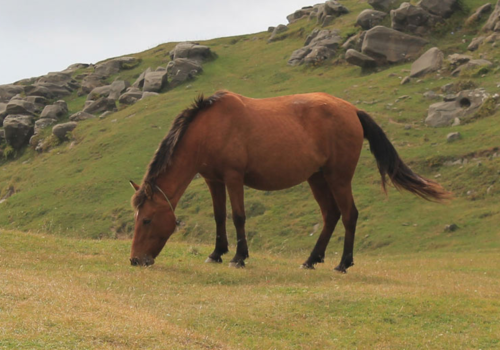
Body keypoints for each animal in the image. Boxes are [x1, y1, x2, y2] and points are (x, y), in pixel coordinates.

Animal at [129, 89, 450, 270]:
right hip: (317, 179)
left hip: (338, 177)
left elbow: (238, 216)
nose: (135, 260)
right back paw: (311, 260)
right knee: (331, 215)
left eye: (146, 220)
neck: (211, 128)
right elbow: (219, 217)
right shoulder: (213, 180)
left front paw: (239, 257)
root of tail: (352, 111)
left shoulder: (233, 177)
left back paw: (343, 263)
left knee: (349, 215)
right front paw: (217, 253)